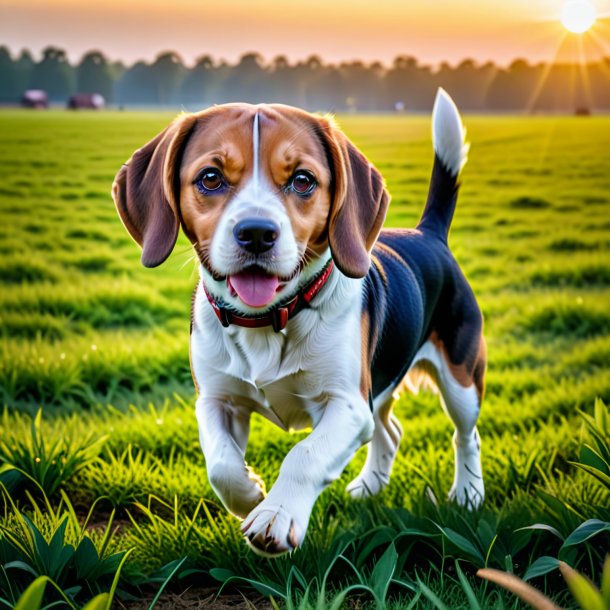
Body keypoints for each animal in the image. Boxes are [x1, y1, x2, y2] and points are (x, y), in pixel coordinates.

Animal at [111, 86, 484, 556]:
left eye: (303, 180)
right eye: (210, 178)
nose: (256, 233)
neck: (267, 321)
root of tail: (428, 233)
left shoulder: (347, 405)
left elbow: (303, 456)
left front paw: (276, 514)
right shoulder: (215, 400)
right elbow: (220, 463)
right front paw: (250, 493)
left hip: (460, 380)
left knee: (465, 436)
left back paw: (468, 494)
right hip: (381, 385)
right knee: (390, 430)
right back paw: (370, 486)